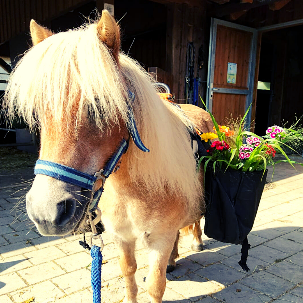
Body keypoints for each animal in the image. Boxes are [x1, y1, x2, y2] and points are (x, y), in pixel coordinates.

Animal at [4, 10, 214, 302]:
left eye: (100, 107)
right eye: (38, 114)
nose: (46, 213)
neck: (135, 190)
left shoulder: (159, 239)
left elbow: (155, 285)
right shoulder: (122, 238)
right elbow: (129, 275)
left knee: (194, 219)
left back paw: (196, 241)